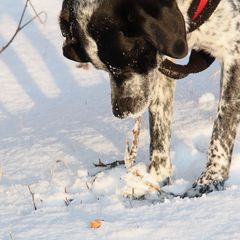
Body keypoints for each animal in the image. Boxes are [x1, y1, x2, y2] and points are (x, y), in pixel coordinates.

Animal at [59, 0, 240, 198]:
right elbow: (159, 132)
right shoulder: (162, 66)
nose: (120, 111)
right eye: (104, 69)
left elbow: (223, 125)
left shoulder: (233, 54)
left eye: (128, 61)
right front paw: (155, 179)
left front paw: (210, 179)